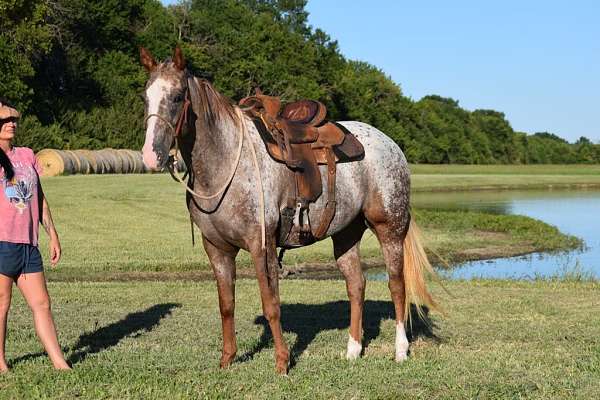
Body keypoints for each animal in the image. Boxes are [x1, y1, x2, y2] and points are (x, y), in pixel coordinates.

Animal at [139, 47, 438, 376]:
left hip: (389, 229)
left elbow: (271, 303)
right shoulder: (217, 248)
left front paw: (282, 362)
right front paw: (227, 359)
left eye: (178, 96)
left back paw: (400, 350)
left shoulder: (261, 245)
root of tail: (390, 144)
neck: (226, 163)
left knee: (396, 285)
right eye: (145, 96)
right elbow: (226, 305)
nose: (151, 156)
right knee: (356, 285)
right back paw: (352, 350)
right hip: (346, 233)